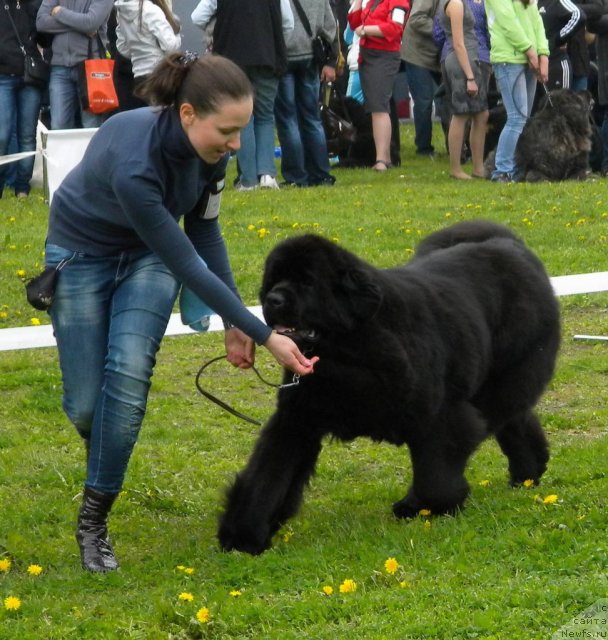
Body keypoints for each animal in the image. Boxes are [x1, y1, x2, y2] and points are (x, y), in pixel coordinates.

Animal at [218, 221, 560, 556]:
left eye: (307, 282)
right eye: (274, 280)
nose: (273, 300)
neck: (347, 351)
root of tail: (512, 246)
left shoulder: (441, 416)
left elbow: (436, 476)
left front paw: (422, 507)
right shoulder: (297, 419)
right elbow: (268, 475)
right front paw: (243, 534)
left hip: (502, 380)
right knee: (517, 420)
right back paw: (529, 473)